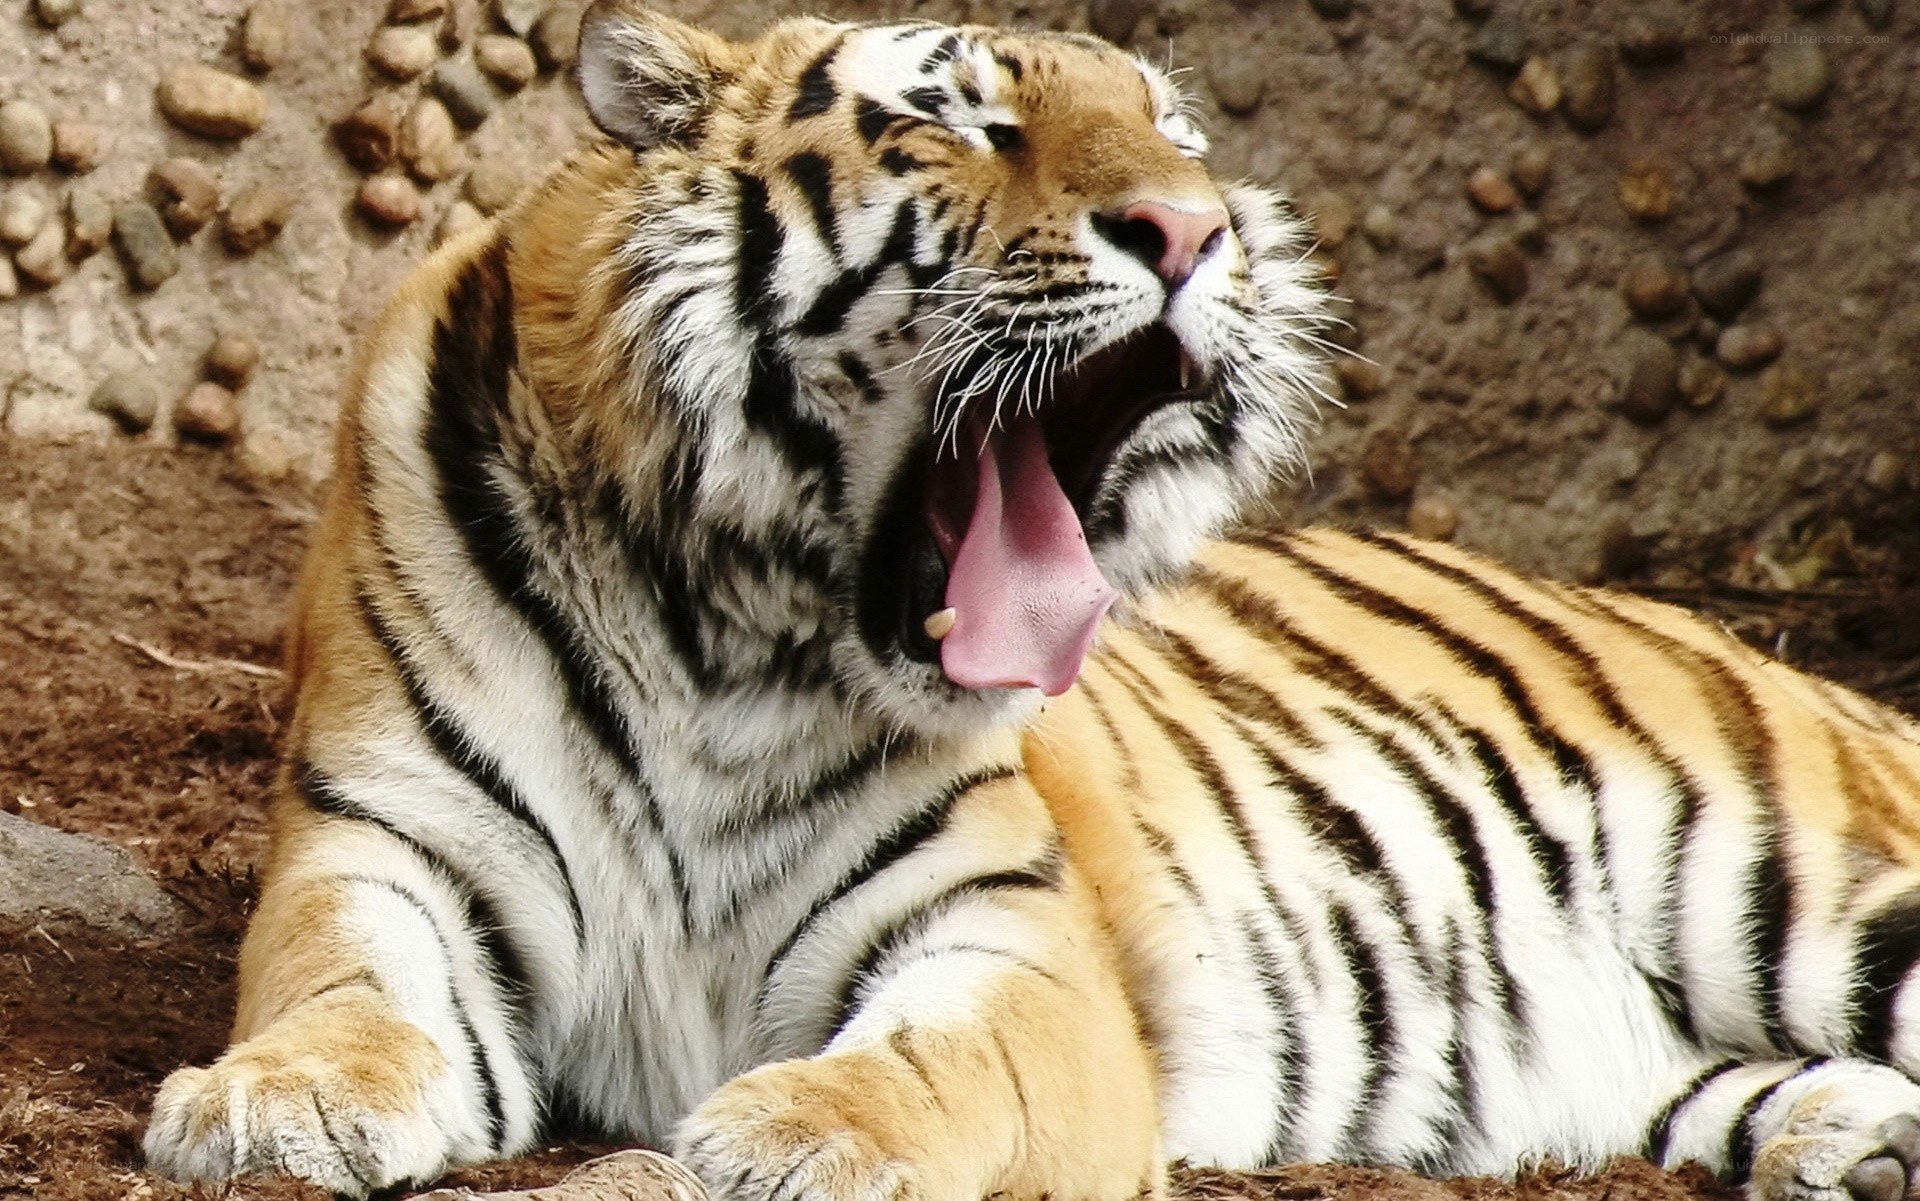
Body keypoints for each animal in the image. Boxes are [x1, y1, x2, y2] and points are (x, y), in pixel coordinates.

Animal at [139, 5, 1920, 1201]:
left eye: (1178, 135)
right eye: (961, 126)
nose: (1196, 230)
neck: (723, 629)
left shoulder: (1005, 935)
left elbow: (936, 1063)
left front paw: (792, 1132)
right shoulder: (389, 850)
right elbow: (348, 989)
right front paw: (272, 1104)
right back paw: (1860, 1140)